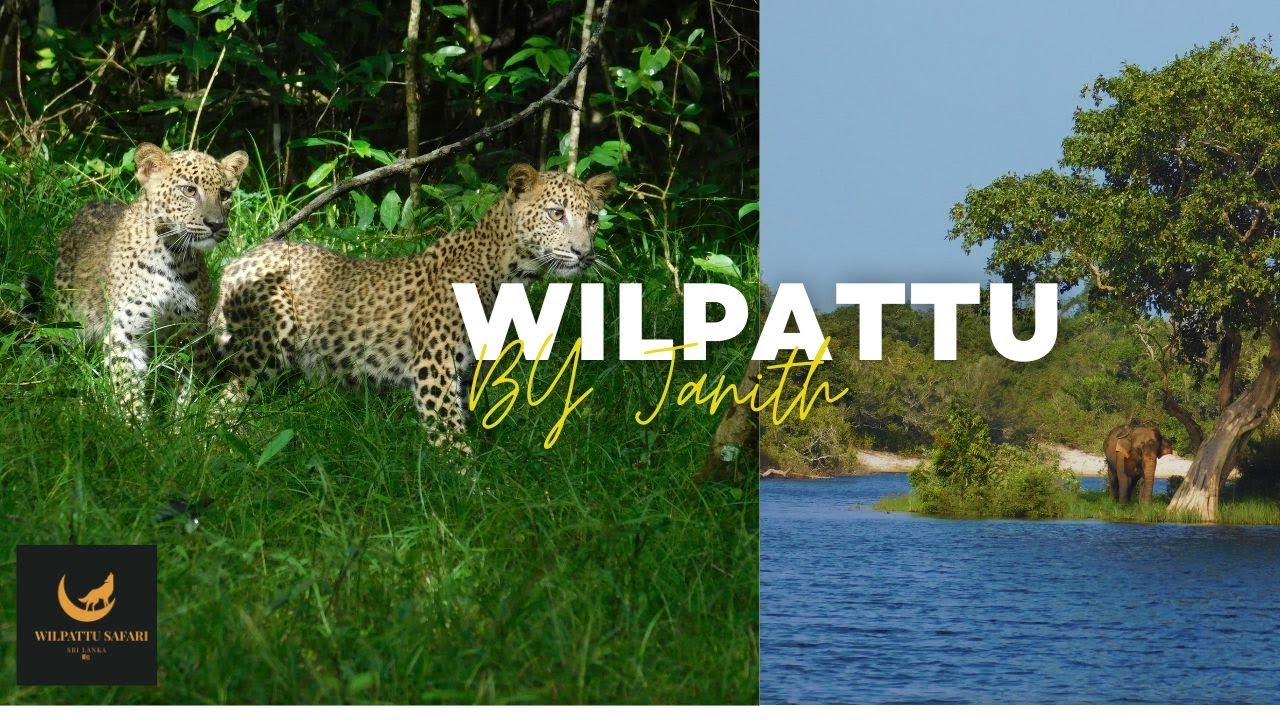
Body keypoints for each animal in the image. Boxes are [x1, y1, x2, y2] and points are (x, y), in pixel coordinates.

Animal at [52, 142, 249, 412]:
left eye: (225, 194)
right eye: (189, 190)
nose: (216, 224)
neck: (173, 257)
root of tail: (91, 202)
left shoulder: (189, 334)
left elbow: (186, 384)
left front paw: (181, 418)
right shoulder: (126, 333)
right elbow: (128, 389)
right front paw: (136, 421)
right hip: (67, 319)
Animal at [210, 163, 616, 449]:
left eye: (592, 219)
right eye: (556, 214)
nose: (584, 253)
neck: (510, 272)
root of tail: (237, 261)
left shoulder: (466, 374)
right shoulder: (433, 370)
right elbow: (449, 437)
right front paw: (467, 489)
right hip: (262, 348)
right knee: (222, 403)